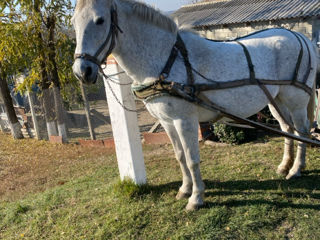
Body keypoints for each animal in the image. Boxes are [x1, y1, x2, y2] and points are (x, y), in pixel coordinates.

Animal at [72, 0, 318, 210]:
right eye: (74, 22)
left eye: (100, 20)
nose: (82, 71)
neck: (166, 60)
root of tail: (301, 38)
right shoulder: (167, 122)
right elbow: (180, 156)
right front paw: (184, 189)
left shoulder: (185, 121)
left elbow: (192, 159)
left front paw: (196, 198)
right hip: (276, 100)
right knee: (287, 130)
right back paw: (284, 166)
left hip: (296, 101)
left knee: (302, 132)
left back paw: (296, 169)